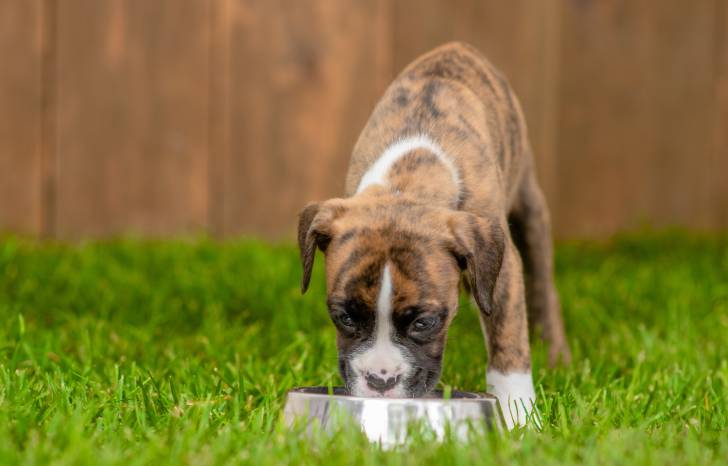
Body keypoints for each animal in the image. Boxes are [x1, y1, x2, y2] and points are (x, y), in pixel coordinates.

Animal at [297, 42, 570, 429]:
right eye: (345, 317)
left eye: (424, 322)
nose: (381, 381)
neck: (407, 182)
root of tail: (458, 47)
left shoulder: (503, 274)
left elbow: (508, 340)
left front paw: (519, 416)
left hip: (530, 208)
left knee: (543, 287)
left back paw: (555, 354)